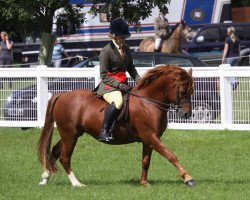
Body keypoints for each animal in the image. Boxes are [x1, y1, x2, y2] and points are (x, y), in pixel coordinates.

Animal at [37, 64, 195, 188]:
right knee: (64, 157)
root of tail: (62, 95)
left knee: (55, 151)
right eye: (182, 92)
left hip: (72, 133)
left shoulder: (148, 140)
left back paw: (45, 178)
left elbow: (146, 161)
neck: (148, 102)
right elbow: (171, 155)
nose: (187, 114)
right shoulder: (151, 137)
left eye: (192, 91)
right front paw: (188, 178)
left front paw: (144, 182)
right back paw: (77, 184)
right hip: (70, 134)